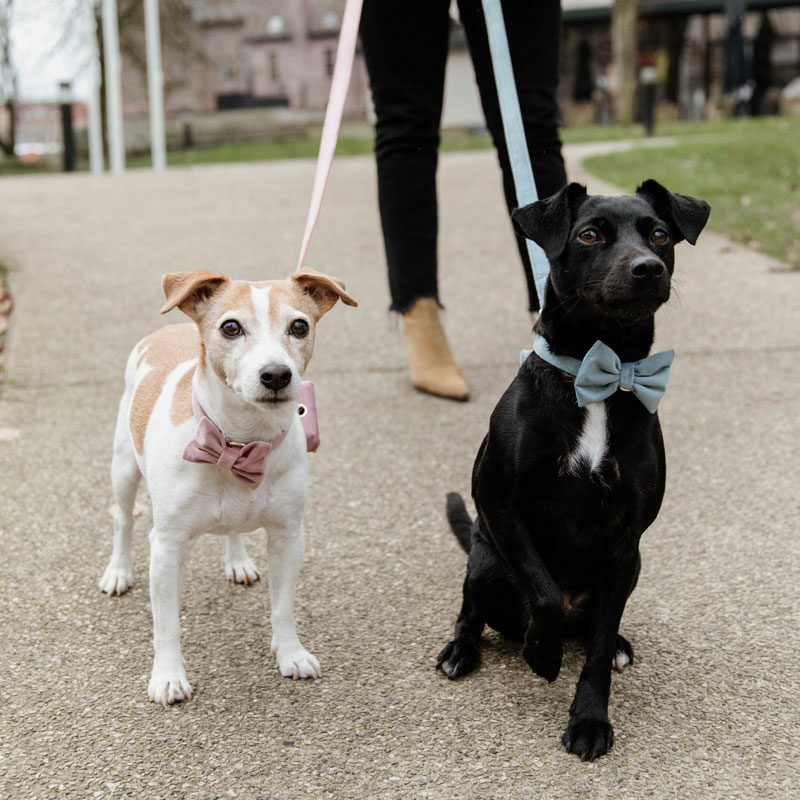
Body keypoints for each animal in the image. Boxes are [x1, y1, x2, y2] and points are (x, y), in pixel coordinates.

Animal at [100, 268, 356, 708]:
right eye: (231, 327)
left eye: (299, 326)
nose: (277, 375)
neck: (237, 443)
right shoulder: (166, 548)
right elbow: (167, 624)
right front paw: (168, 677)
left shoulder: (289, 538)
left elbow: (283, 608)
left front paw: (290, 653)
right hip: (123, 469)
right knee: (124, 522)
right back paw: (118, 571)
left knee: (233, 529)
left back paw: (237, 561)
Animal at [434, 181, 708, 764]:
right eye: (589, 235)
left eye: (658, 234)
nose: (648, 268)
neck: (602, 370)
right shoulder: (499, 504)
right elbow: (543, 593)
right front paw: (543, 651)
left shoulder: (626, 543)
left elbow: (598, 649)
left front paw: (589, 719)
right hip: (485, 559)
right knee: (472, 610)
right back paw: (463, 648)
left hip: (629, 571)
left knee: (597, 626)